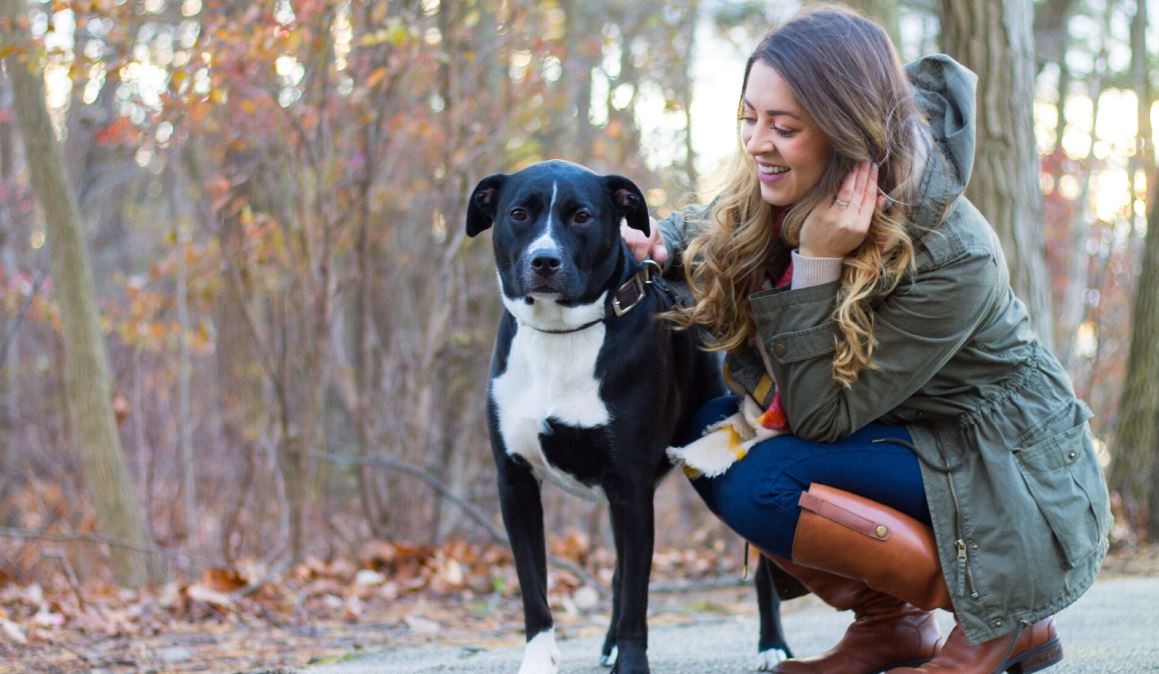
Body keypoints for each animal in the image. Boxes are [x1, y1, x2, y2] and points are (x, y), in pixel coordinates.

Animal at [465, 160, 792, 671]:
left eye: (582, 216)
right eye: (518, 213)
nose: (544, 261)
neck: (563, 336)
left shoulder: (631, 487)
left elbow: (638, 598)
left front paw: (632, 661)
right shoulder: (515, 483)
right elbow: (535, 589)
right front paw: (540, 660)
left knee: (761, 572)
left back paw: (771, 645)